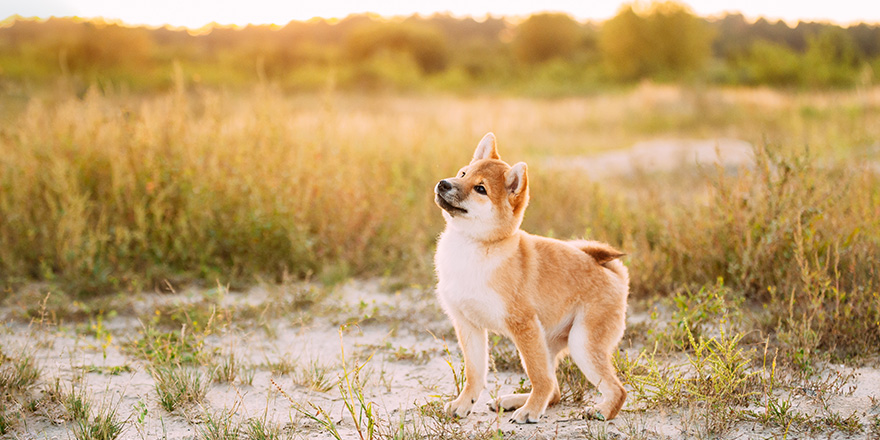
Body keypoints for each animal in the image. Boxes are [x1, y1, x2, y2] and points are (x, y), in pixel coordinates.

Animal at [432, 131, 624, 422]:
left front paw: (532, 411)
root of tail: (611, 271)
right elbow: (475, 374)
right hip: (549, 342)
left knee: (613, 390)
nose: (443, 184)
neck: (473, 247)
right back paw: (514, 400)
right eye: (462, 173)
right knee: (555, 390)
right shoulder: (467, 324)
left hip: (580, 344)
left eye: (480, 189)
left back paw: (600, 411)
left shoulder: (524, 325)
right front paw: (464, 404)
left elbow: (538, 377)